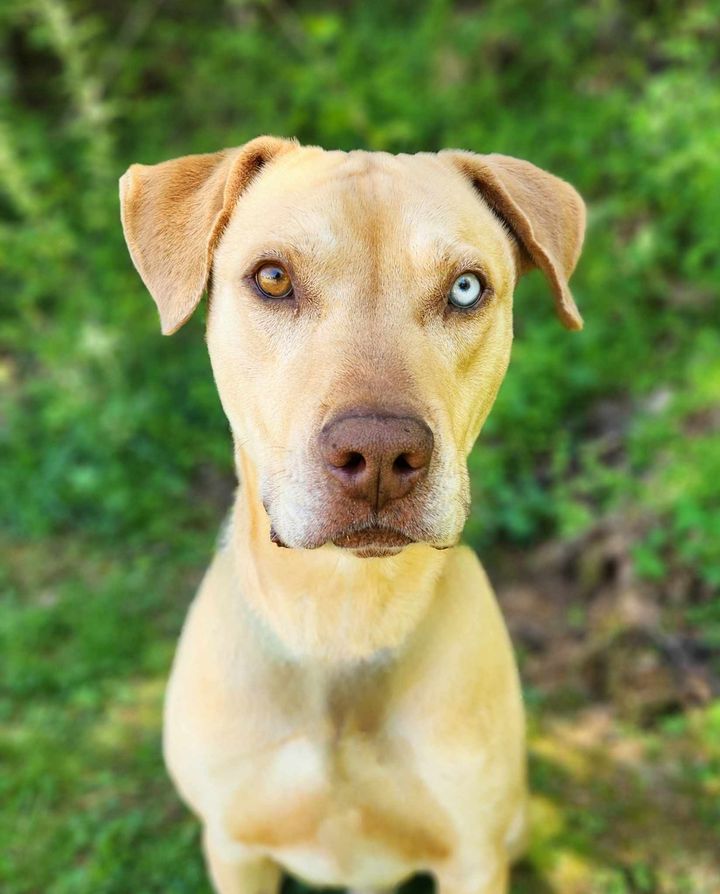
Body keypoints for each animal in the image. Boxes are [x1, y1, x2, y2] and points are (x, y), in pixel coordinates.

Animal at [118, 135, 584, 894]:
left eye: (466, 288)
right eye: (273, 278)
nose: (381, 452)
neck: (341, 614)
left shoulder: (473, 856)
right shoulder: (235, 846)